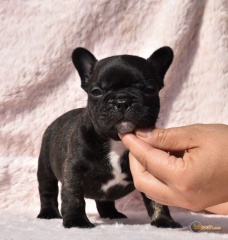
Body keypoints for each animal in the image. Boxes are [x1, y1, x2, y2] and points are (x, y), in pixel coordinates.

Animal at [37, 47, 182, 229]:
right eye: (96, 92)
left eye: (149, 90)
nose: (122, 100)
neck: (116, 141)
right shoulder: (73, 170)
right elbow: (73, 196)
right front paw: (76, 221)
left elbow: (156, 198)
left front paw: (164, 220)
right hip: (45, 166)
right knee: (47, 190)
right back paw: (48, 213)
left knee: (104, 200)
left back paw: (111, 214)